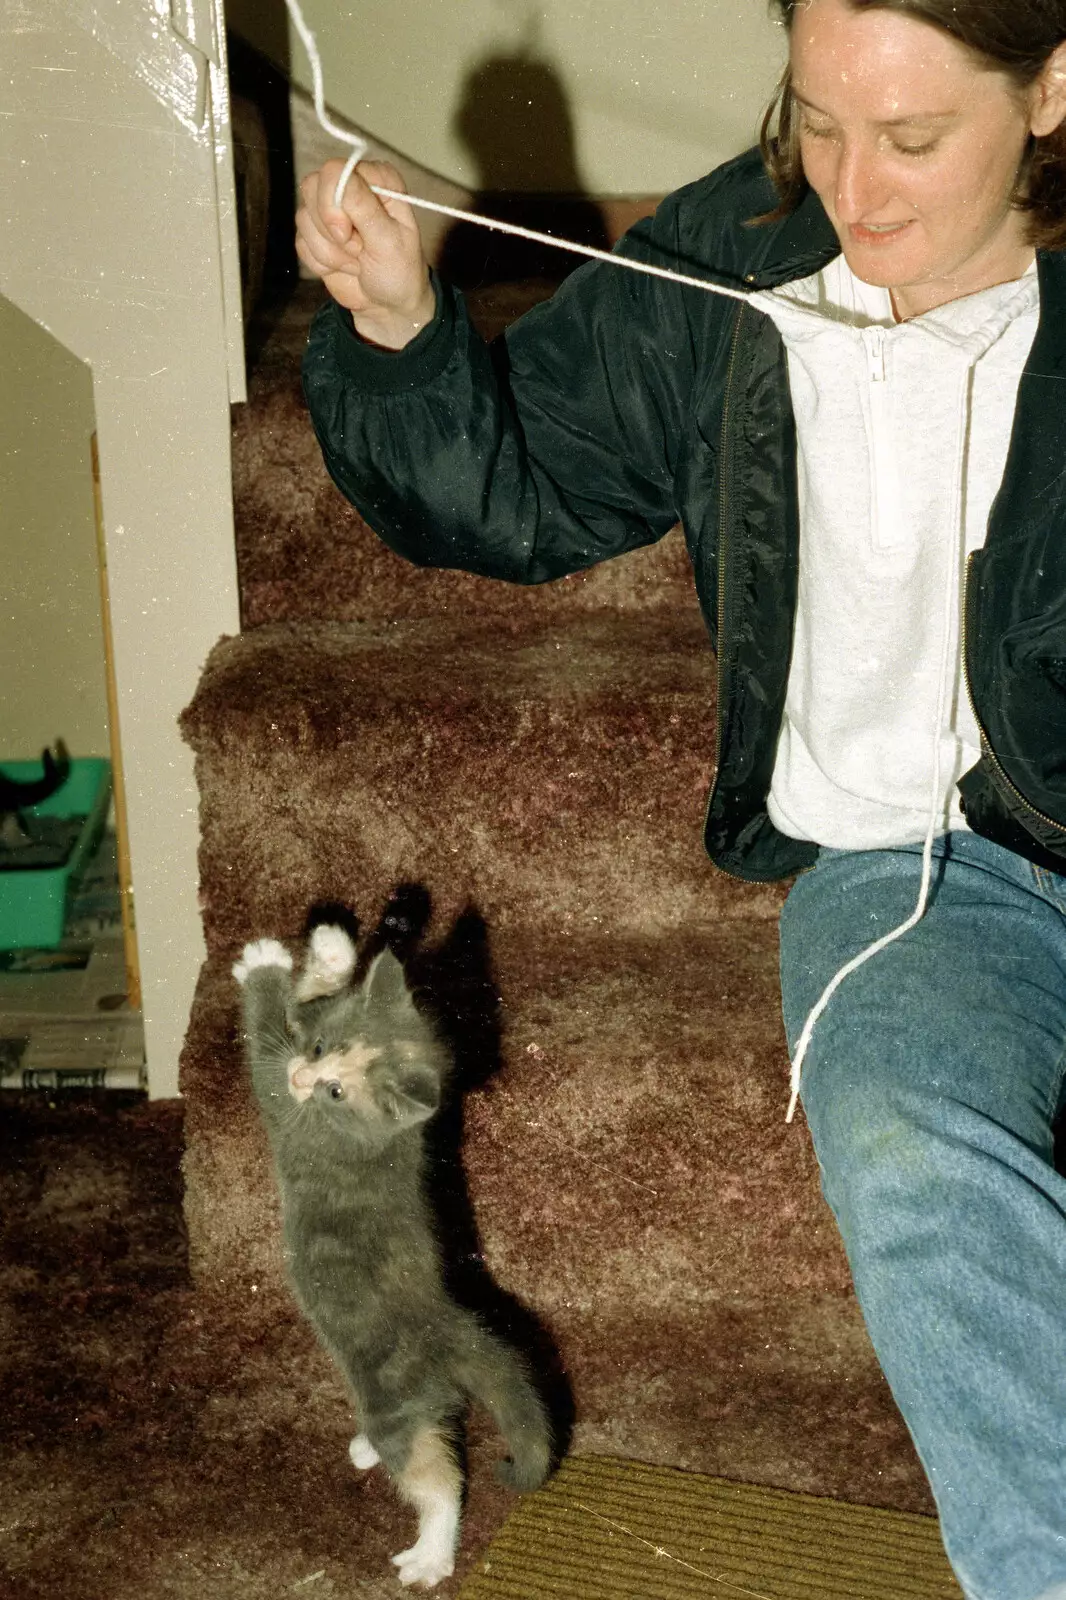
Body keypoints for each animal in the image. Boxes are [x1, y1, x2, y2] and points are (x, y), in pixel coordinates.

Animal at [230, 928, 547, 1587]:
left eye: (335, 1091)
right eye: (320, 1049)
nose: (305, 1074)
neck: (380, 1135)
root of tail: (449, 1326)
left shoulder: (290, 1113)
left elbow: (263, 1047)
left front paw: (263, 970)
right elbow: (303, 1010)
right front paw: (330, 958)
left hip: (393, 1398)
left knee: (436, 1479)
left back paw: (431, 1554)